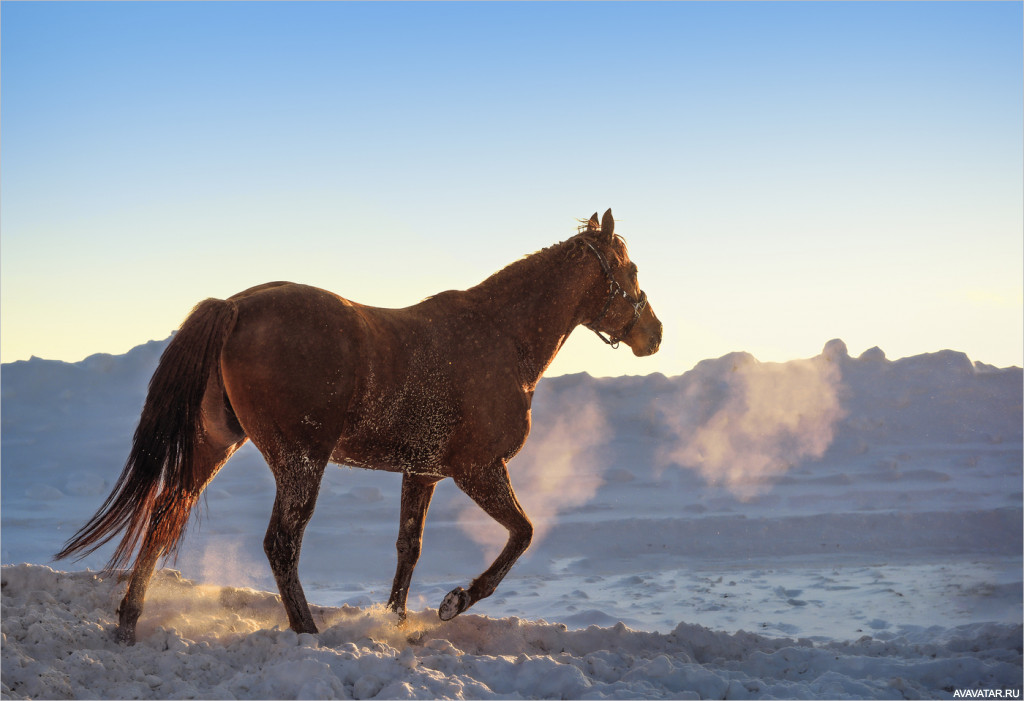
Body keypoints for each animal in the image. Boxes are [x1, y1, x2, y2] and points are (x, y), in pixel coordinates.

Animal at [56, 206, 663, 638]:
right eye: (631, 269)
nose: (654, 334)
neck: (502, 338)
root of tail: (234, 306)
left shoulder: (423, 472)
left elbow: (408, 547)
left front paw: (394, 618)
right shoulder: (478, 468)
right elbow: (523, 534)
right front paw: (454, 601)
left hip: (216, 446)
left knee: (164, 517)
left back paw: (129, 621)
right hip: (301, 461)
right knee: (280, 543)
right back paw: (306, 630)